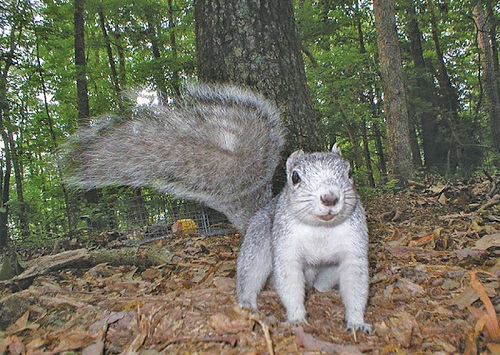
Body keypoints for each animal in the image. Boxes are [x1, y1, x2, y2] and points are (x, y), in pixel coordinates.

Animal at [60, 83, 370, 334]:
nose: (330, 198)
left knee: (322, 283)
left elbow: (356, 284)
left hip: (327, 270)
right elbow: (289, 282)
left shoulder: (353, 250)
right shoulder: (286, 249)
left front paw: (356, 322)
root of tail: (260, 211)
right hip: (259, 246)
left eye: (349, 172)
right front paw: (296, 318)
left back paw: (321, 291)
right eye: (295, 178)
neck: (321, 229)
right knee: (252, 274)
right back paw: (248, 303)